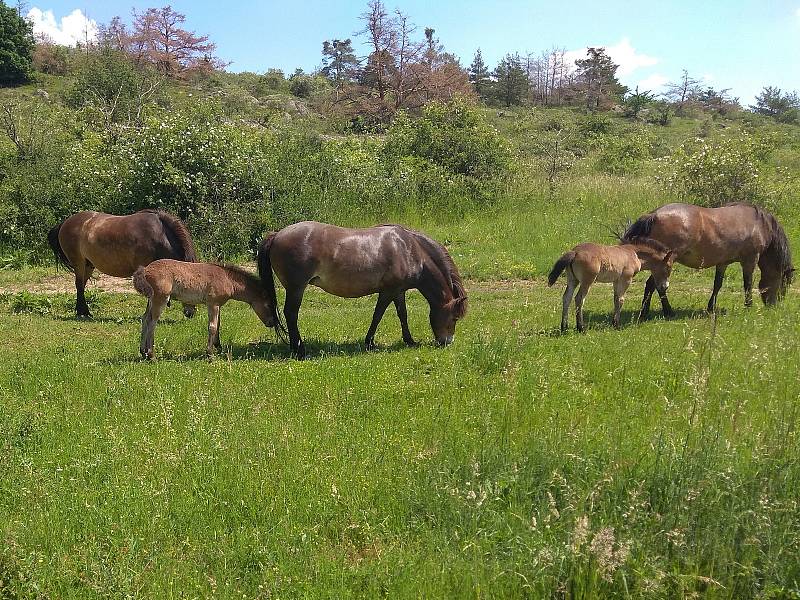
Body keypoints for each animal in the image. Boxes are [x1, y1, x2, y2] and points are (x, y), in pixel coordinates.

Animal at [48, 210, 198, 318]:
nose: (190, 313)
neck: (158, 236)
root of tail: (65, 223)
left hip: (88, 264)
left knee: (82, 285)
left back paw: (84, 312)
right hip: (78, 262)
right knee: (79, 285)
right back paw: (82, 313)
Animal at [132, 260, 278, 358]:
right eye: (269, 305)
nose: (272, 322)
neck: (227, 279)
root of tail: (145, 269)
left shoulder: (217, 305)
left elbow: (217, 325)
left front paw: (218, 347)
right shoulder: (212, 304)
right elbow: (212, 327)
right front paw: (209, 354)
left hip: (151, 300)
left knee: (145, 319)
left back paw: (143, 352)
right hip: (161, 299)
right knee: (152, 322)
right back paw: (151, 355)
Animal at [256, 221, 468, 358]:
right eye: (455, 318)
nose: (447, 342)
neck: (407, 249)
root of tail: (276, 234)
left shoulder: (399, 291)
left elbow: (403, 315)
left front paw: (409, 341)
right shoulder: (387, 292)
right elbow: (377, 315)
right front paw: (369, 343)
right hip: (296, 288)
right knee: (291, 314)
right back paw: (299, 350)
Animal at [544, 239, 676, 332]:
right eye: (668, 267)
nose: (665, 287)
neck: (634, 253)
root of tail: (575, 252)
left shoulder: (616, 281)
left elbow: (616, 299)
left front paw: (614, 323)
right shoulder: (625, 279)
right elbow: (621, 300)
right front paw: (617, 325)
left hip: (573, 280)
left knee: (567, 297)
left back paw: (564, 327)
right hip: (587, 281)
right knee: (579, 298)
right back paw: (581, 328)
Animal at [624, 203, 792, 318]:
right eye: (783, 283)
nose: (774, 305)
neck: (759, 224)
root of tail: (653, 215)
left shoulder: (723, 262)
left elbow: (718, 284)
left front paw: (711, 307)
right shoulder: (750, 259)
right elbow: (748, 284)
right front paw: (749, 305)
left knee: (651, 285)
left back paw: (645, 312)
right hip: (664, 263)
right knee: (657, 286)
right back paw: (667, 311)